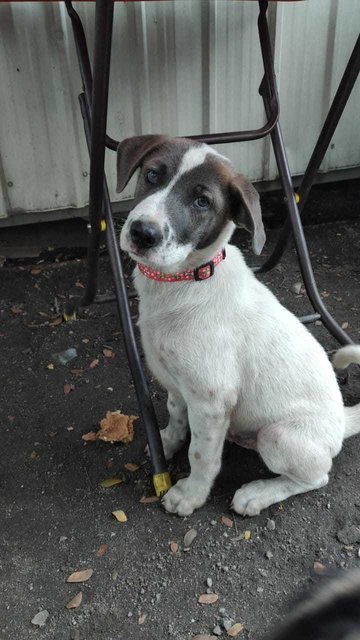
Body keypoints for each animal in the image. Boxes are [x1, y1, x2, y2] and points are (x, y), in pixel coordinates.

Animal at [119, 136, 360, 520]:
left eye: (202, 201)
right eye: (153, 174)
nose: (143, 232)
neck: (184, 282)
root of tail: (343, 421)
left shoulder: (211, 399)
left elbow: (201, 455)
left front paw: (190, 494)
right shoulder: (177, 383)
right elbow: (176, 417)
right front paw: (167, 443)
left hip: (278, 436)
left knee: (317, 477)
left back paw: (256, 494)